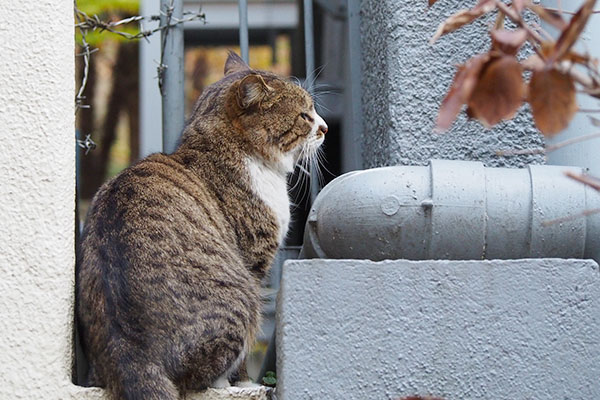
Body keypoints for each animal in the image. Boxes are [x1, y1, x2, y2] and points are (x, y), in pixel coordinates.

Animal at [77, 51, 328, 398]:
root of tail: (131, 354)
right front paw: (244, 382)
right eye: (305, 116)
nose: (326, 128)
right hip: (244, 299)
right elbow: (244, 360)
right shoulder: (254, 263)